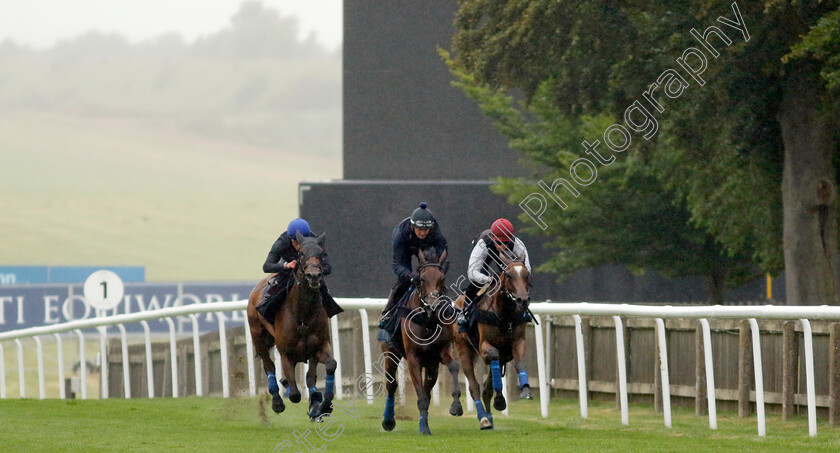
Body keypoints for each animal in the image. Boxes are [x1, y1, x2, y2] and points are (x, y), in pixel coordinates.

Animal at [244, 233, 336, 420]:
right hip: (257, 334)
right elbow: (294, 394)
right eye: (300, 254)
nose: (314, 276)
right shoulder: (286, 353)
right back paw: (277, 400)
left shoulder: (319, 347)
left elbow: (328, 366)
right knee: (269, 366)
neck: (302, 314)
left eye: (322, 254)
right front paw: (286, 388)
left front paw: (323, 405)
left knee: (310, 376)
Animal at [378, 247, 462, 434]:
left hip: (432, 365)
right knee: (391, 385)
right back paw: (388, 420)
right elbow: (421, 396)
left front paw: (456, 406)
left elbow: (453, 366)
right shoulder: (413, 358)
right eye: (422, 278)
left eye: (442, 278)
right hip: (390, 353)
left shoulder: (442, 352)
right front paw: (424, 428)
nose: (433, 306)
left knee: (428, 388)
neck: (427, 321)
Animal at [452, 252, 532, 430]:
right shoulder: (484, 347)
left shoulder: (517, 343)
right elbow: (493, 355)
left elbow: (520, 362)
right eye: (508, 275)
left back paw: (489, 415)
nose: (522, 300)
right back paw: (483, 418)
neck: (504, 315)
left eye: (526, 274)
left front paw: (525, 391)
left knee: (486, 389)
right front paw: (500, 400)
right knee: (474, 386)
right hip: (463, 349)